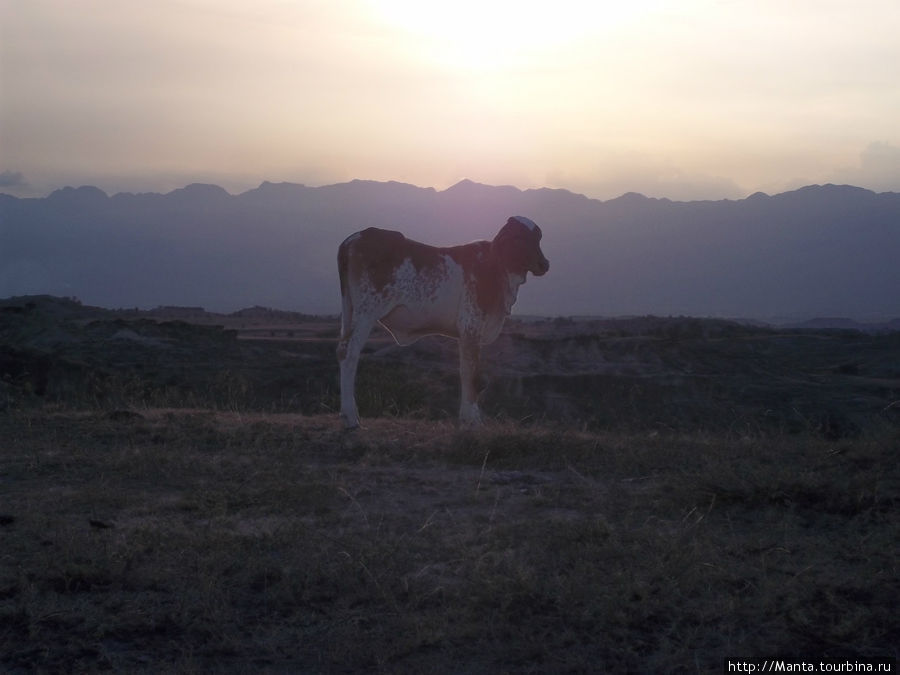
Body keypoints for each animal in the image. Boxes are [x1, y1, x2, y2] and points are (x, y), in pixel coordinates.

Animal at [338, 217, 548, 428]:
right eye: (519, 237)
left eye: (538, 238)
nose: (544, 264)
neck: (498, 269)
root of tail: (353, 238)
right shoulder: (471, 326)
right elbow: (472, 374)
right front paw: (472, 419)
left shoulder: (467, 334)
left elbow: (466, 371)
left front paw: (468, 417)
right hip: (367, 312)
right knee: (349, 355)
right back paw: (351, 417)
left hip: (351, 311)